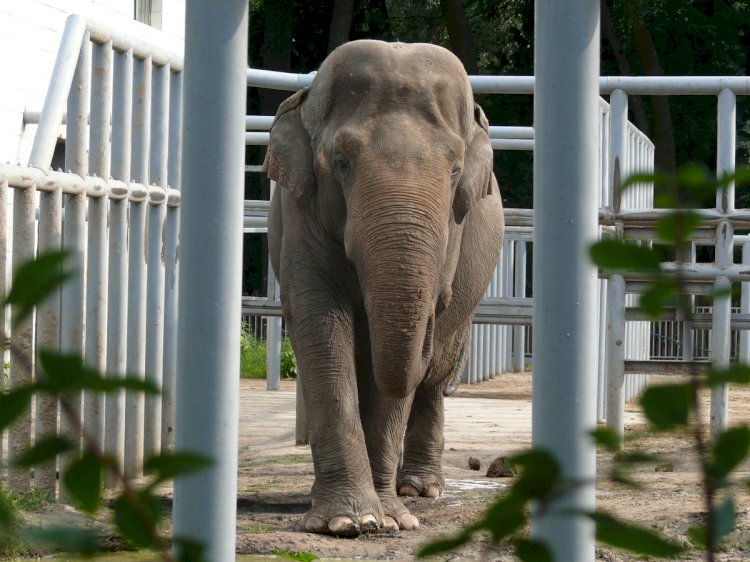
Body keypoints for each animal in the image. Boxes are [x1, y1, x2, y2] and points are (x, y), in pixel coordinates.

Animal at [264, 39, 506, 532]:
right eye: (340, 163)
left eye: (455, 170)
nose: (436, 306)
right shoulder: (302, 212)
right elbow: (320, 323)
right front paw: (348, 523)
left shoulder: (452, 232)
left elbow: (398, 371)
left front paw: (394, 519)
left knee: (433, 378)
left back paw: (419, 489)